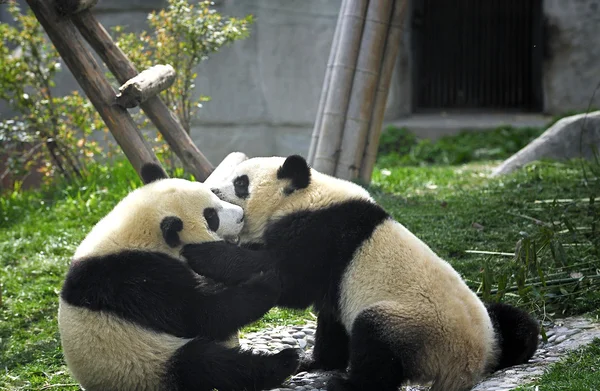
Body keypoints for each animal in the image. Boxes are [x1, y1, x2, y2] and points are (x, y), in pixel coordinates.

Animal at [57, 164, 300, 391]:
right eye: (211, 216)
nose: (241, 215)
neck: (137, 237)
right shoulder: (136, 280)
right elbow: (198, 315)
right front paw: (266, 282)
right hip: (147, 363)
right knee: (209, 364)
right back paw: (283, 361)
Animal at [182, 155, 540, 391]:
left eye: (240, 183)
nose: (213, 193)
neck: (305, 196)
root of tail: (471, 364)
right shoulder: (336, 280)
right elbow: (329, 314)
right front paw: (315, 361)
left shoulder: (322, 234)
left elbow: (288, 279)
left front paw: (200, 253)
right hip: (483, 324)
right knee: (515, 321)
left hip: (416, 326)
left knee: (375, 344)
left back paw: (344, 384)